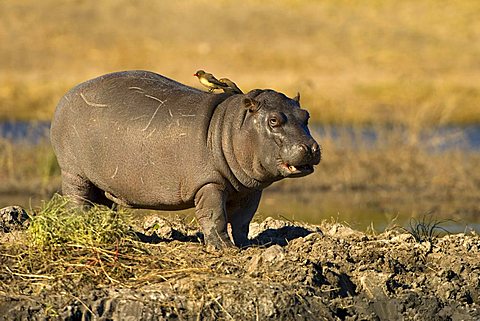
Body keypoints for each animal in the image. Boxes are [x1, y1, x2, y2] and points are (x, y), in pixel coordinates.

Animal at [50, 70, 320, 248]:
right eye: (273, 120)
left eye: (306, 115)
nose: (311, 147)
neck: (232, 126)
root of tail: (67, 95)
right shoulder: (209, 184)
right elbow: (215, 217)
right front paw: (224, 249)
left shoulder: (250, 190)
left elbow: (242, 221)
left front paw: (247, 246)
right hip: (74, 172)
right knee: (77, 201)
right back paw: (81, 226)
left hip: (103, 179)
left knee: (103, 205)